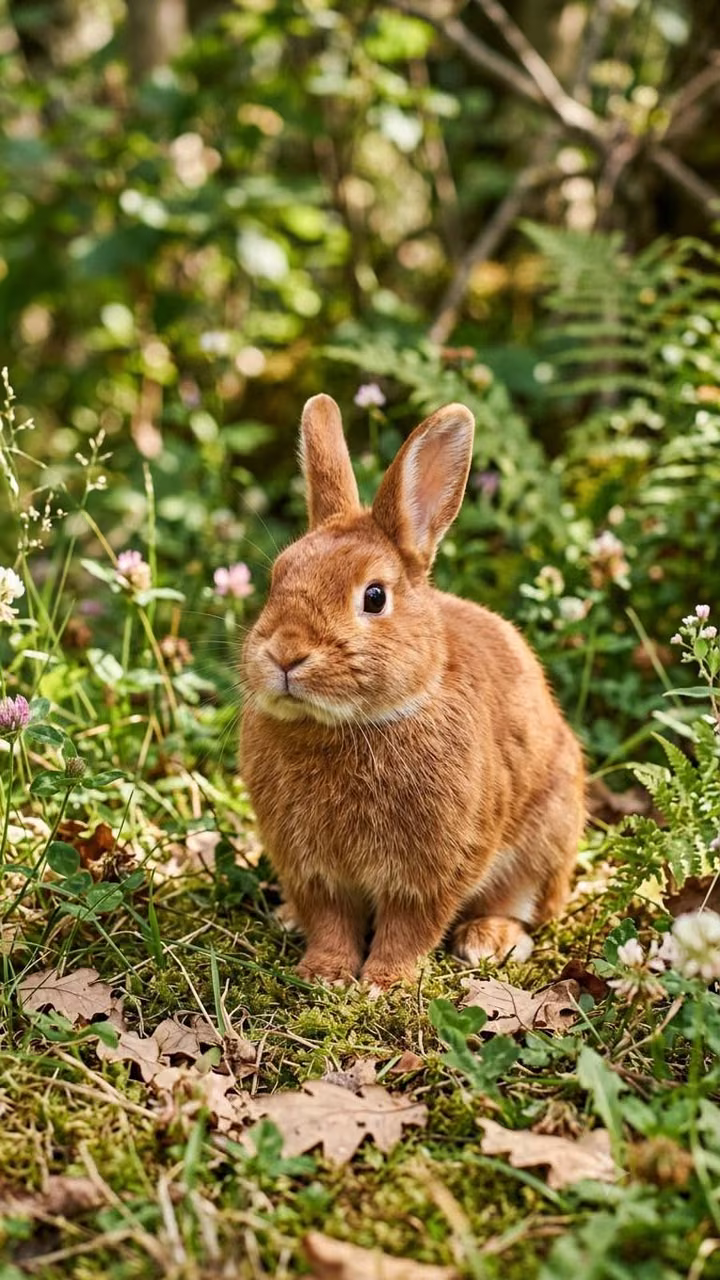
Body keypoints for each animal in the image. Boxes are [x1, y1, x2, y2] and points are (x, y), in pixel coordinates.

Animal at [241, 394, 585, 989]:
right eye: (276, 579)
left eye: (374, 597)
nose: (285, 654)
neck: (346, 725)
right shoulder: (313, 871)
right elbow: (330, 919)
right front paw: (325, 974)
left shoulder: (433, 869)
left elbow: (411, 925)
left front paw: (384, 982)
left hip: (546, 839)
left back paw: (489, 940)